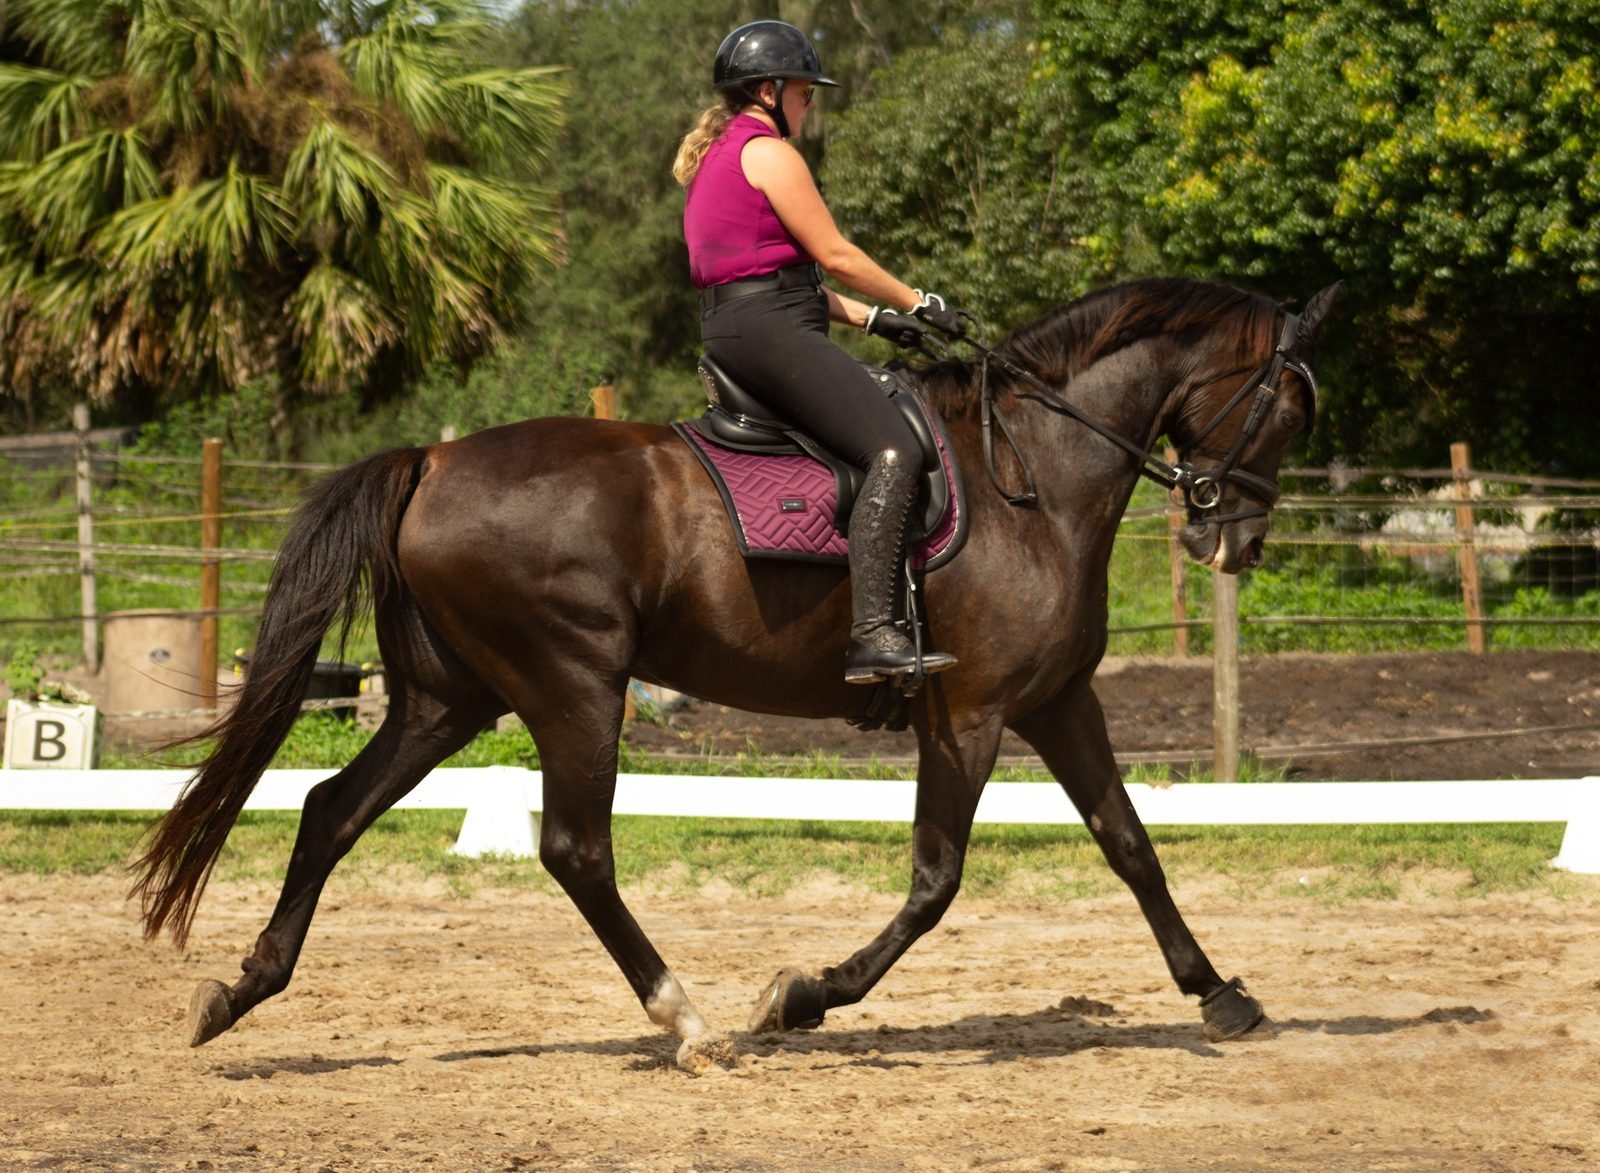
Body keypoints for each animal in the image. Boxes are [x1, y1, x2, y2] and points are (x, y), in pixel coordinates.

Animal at [132, 275, 1338, 1071]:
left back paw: (239, 991)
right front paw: (801, 995)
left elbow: (1130, 845)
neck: (1032, 476)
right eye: (1288, 405)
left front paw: (1220, 994)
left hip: (448, 699)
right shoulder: (972, 711)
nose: (1232, 543)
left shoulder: (1058, 701)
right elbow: (937, 879)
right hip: (573, 686)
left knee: (333, 809)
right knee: (575, 849)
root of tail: (430, 458)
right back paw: (688, 1021)